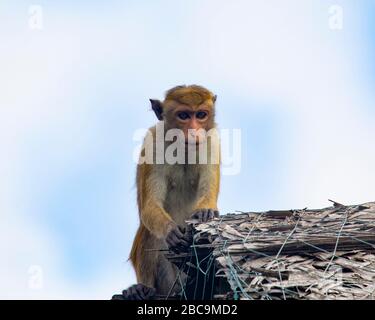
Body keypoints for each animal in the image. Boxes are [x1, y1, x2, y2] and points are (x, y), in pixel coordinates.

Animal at [113, 84, 222, 300]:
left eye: (201, 114)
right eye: (183, 115)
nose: (194, 132)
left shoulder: (212, 143)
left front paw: (205, 211)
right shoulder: (152, 144)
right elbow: (149, 207)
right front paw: (170, 230)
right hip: (168, 282)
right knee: (150, 233)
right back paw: (141, 289)